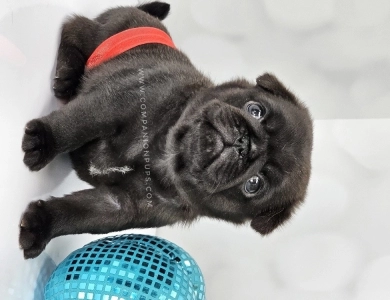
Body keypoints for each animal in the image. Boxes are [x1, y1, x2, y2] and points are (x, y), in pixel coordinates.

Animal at [19, 1, 314, 258]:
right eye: (256, 110)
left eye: (254, 184)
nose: (245, 143)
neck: (164, 153)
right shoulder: (114, 103)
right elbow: (77, 123)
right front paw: (44, 140)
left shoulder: (123, 205)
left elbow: (79, 214)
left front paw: (42, 224)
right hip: (103, 35)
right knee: (74, 26)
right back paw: (68, 77)